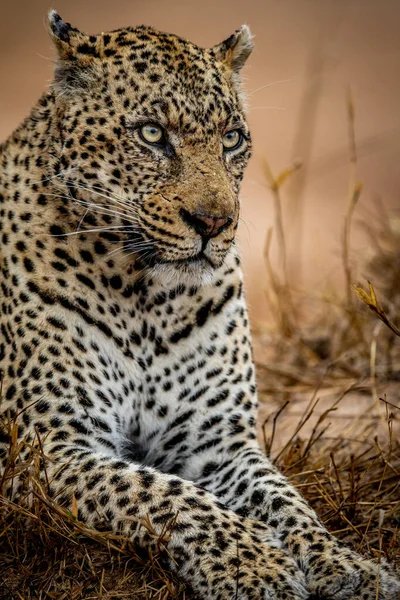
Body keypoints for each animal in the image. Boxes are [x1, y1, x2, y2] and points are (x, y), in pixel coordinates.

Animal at [0, 10, 398, 600]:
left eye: (231, 139)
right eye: (151, 134)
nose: (214, 222)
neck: (143, 297)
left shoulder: (219, 442)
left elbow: (289, 503)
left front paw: (349, 566)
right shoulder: (45, 446)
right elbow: (163, 493)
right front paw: (256, 564)